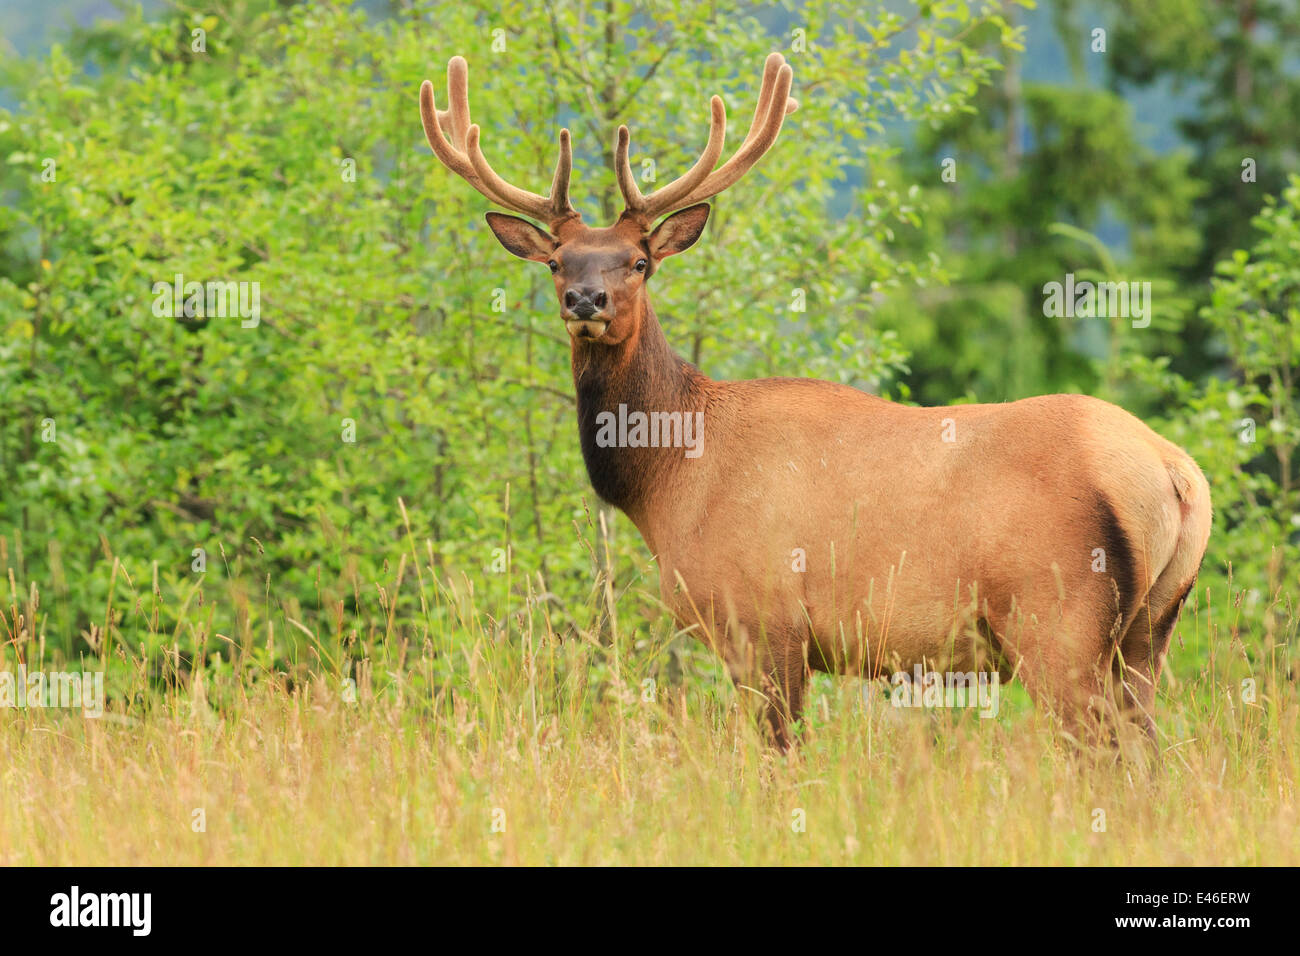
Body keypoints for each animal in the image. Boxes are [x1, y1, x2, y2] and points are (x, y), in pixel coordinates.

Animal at [421, 54, 1211, 754]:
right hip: (1149, 632)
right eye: (557, 262)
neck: (670, 481)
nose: (586, 299)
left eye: (639, 262)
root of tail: (1175, 473)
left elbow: (779, 758)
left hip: (1059, 620)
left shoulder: (765, 620)